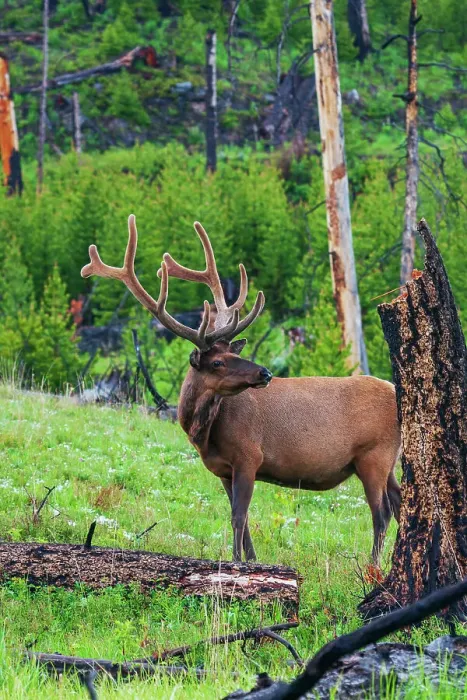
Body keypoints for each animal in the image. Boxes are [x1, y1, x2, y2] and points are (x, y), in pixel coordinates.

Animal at [82, 215, 401, 564]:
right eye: (219, 361)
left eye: (233, 355)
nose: (265, 372)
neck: (205, 433)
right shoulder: (224, 469)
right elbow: (243, 519)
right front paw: (251, 559)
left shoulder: (249, 455)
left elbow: (238, 515)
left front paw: (236, 562)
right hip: (389, 461)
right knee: (401, 504)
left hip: (374, 455)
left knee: (382, 513)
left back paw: (373, 566)